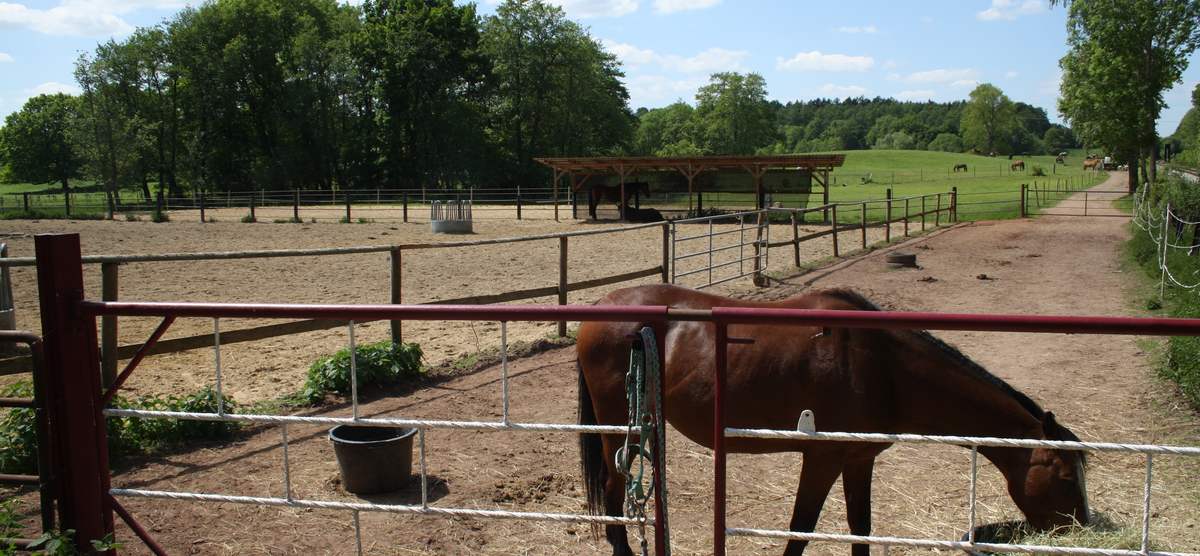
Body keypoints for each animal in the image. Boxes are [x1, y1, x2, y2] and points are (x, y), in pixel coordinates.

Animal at [576, 284, 1094, 556]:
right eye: (1067, 478)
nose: (1081, 529)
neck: (882, 366)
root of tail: (599, 310)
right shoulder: (821, 459)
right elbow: (802, 527)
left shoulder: (858, 459)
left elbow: (860, 526)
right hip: (615, 429)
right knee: (612, 493)